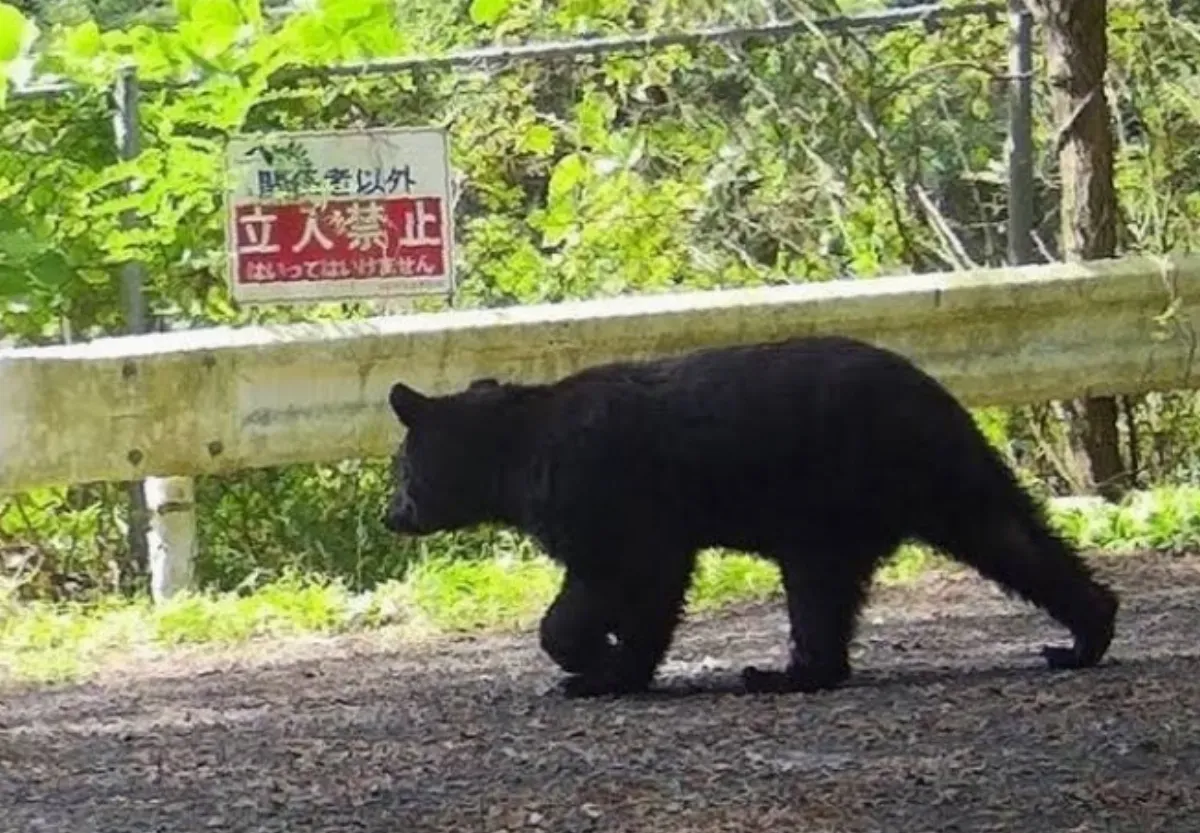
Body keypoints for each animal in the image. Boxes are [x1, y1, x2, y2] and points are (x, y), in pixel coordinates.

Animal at [382, 335, 1119, 699]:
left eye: (399, 469)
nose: (392, 514)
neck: (517, 453)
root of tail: (935, 396)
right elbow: (640, 589)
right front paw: (614, 666)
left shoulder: (604, 495)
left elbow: (619, 579)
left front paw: (591, 664)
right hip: (932, 477)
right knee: (1010, 536)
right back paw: (1085, 635)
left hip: (830, 494)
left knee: (822, 585)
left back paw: (777, 674)